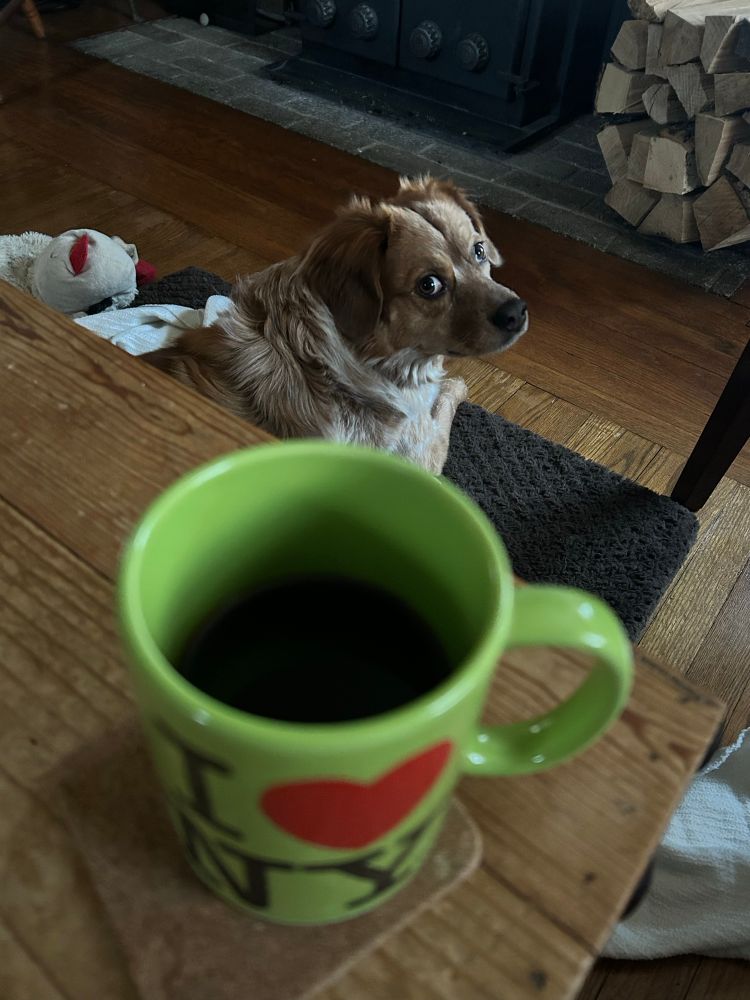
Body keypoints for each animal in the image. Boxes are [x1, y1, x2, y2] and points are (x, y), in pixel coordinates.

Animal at [143, 176, 528, 473]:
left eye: (479, 250)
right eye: (429, 285)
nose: (517, 312)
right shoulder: (419, 452)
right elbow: (445, 399)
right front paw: (456, 385)